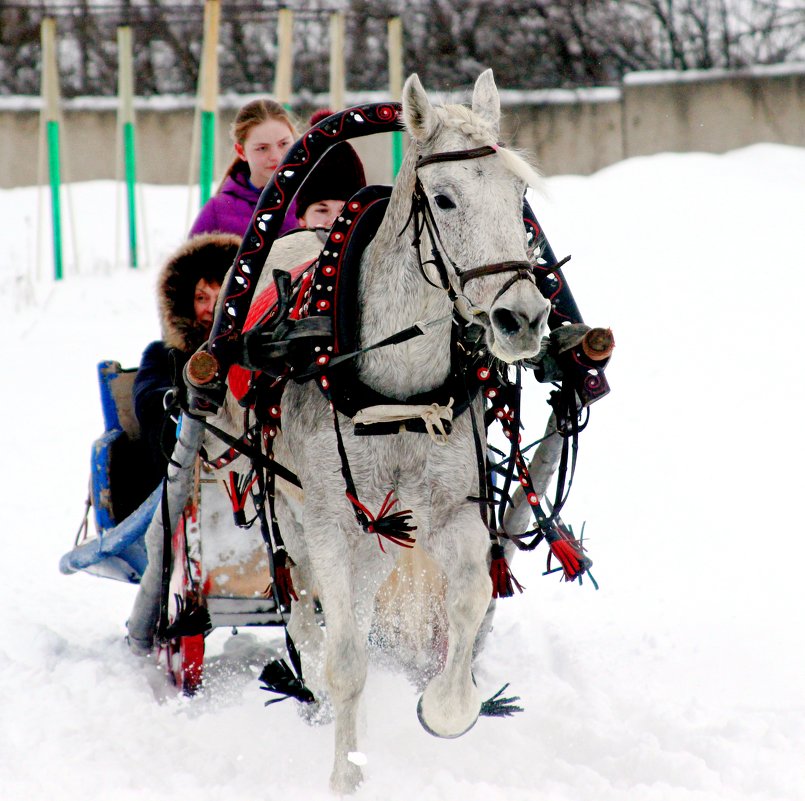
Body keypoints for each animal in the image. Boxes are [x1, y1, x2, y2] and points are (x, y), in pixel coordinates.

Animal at [220, 70, 548, 792]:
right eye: (445, 199)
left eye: (519, 195)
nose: (522, 317)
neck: (394, 388)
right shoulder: (328, 525)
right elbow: (344, 655)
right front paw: (347, 773)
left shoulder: (452, 511)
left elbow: (471, 597)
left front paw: (446, 707)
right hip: (290, 514)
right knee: (304, 612)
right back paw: (314, 687)